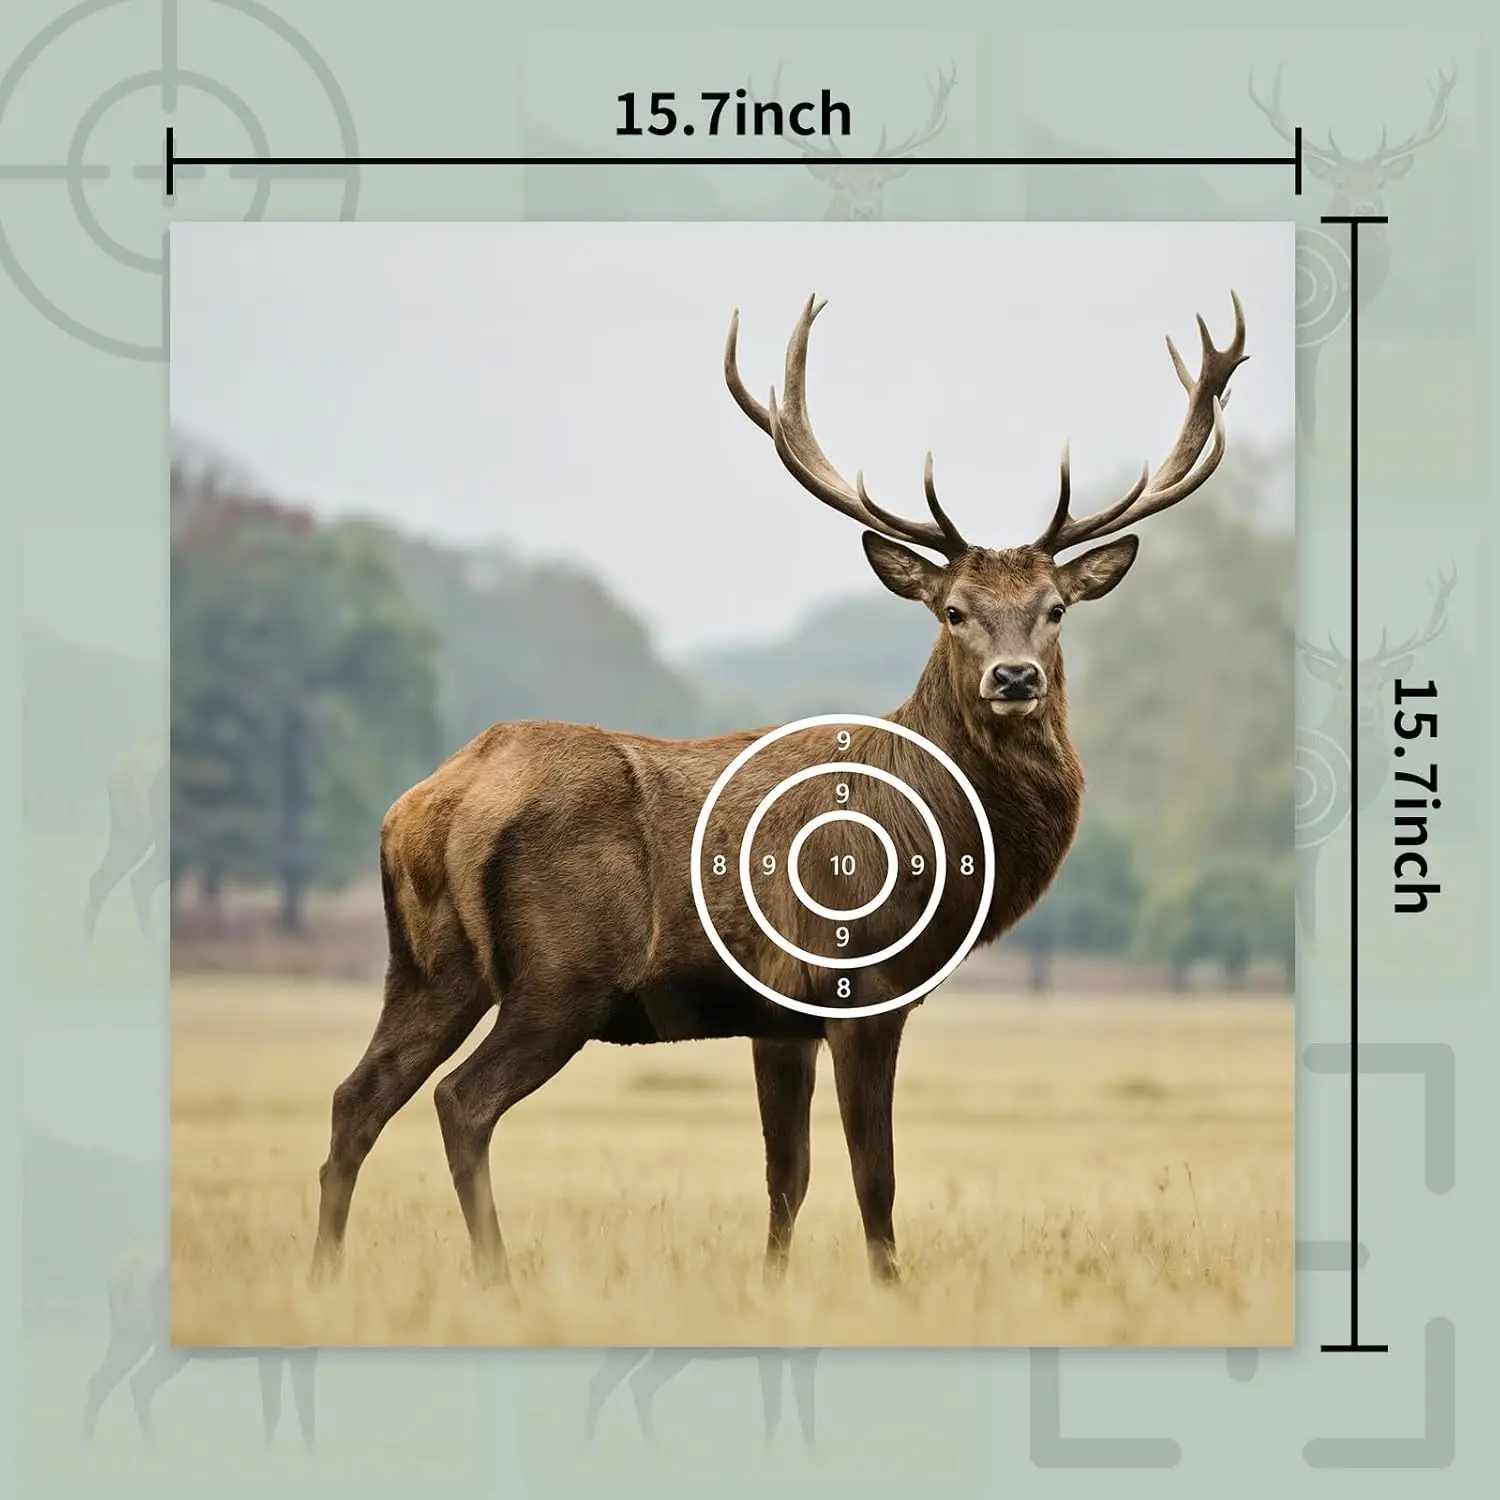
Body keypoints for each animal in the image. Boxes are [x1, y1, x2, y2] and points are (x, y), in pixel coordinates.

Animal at [82, 1247, 317, 1449]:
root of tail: (118, 1274)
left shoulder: (304, 1352)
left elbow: (306, 1411)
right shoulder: (271, 1351)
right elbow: (274, 1409)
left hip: (130, 1334)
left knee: (100, 1381)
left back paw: (88, 1446)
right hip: (168, 1347)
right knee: (138, 1382)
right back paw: (154, 1446)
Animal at [309, 290, 1248, 1295]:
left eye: (1057, 610)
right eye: (953, 610)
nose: (1015, 677)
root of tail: (427, 807)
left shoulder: (779, 1016)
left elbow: (786, 1176)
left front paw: (770, 1288)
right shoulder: (858, 985)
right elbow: (873, 1175)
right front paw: (889, 1290)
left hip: (426, 966)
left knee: (356, 1098)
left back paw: (324, 1275)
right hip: (561, 977)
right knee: (461, 1102)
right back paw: (497, 1279)